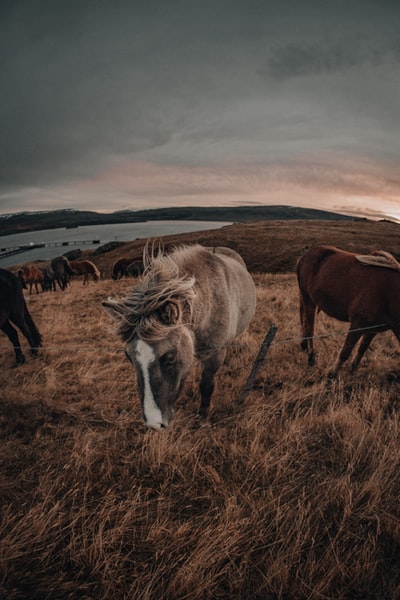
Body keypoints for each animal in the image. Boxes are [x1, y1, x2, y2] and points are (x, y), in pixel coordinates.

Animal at [101, 241, 255, 428]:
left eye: (170, 358)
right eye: (128, 357)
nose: (154, 422)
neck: (209, 304)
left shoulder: (215, 356)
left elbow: (206, 385)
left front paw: (203, 417)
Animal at [296, 243, 400, 376]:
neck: (388, 293)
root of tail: (303, 257)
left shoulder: (373, 329)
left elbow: (361, 350)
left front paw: (352, 370)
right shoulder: (358, 324)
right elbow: (346, 351)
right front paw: (332, 374)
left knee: (304, 321)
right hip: (308, 300)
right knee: (309, 327)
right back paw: (311, 357)